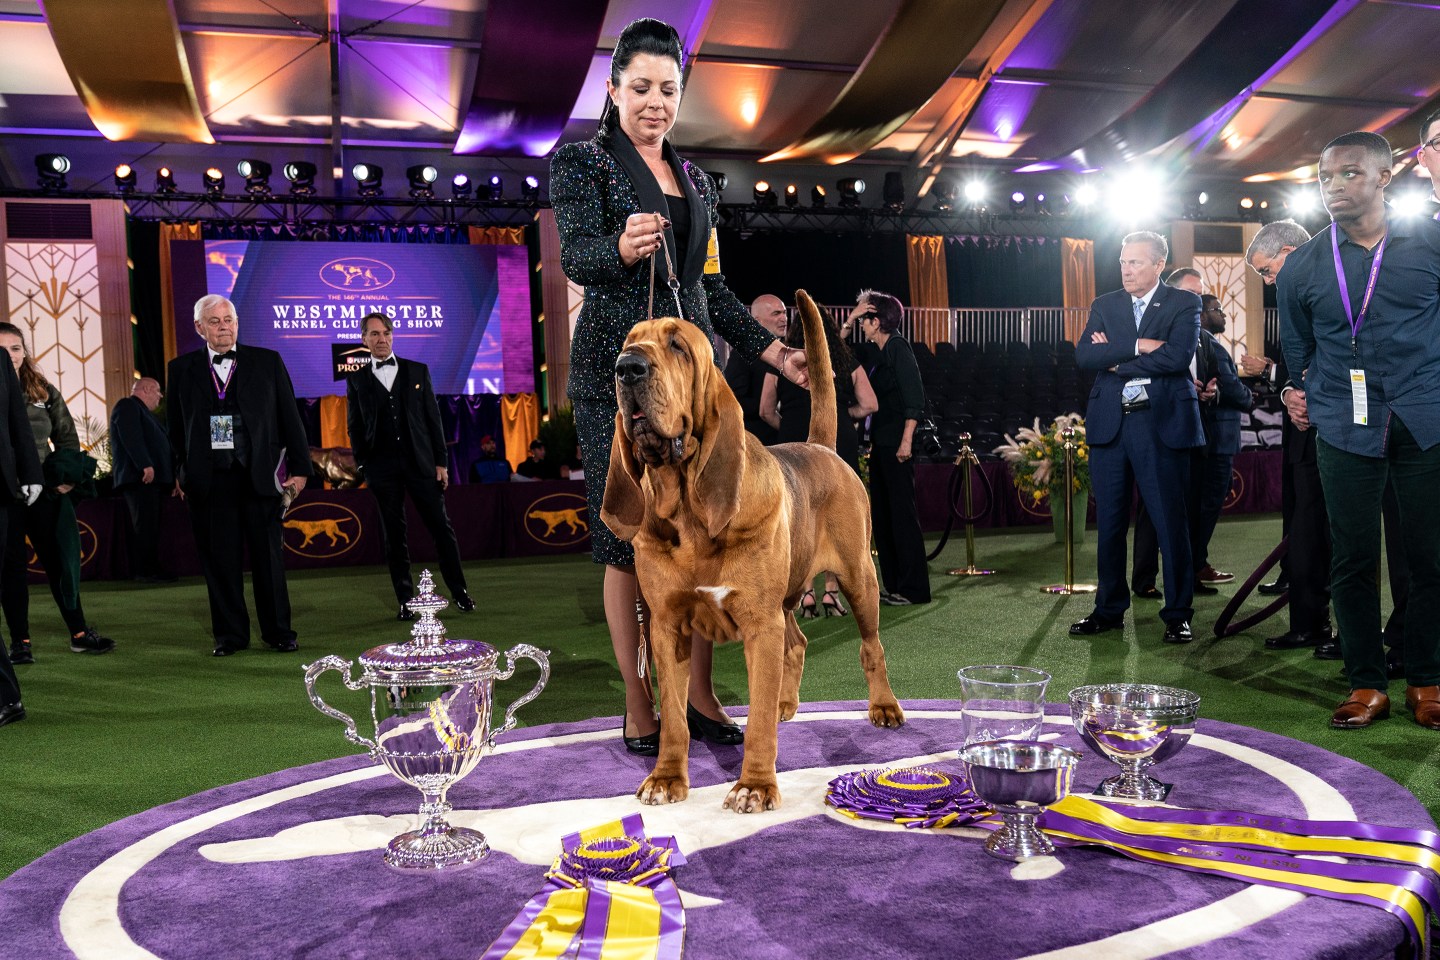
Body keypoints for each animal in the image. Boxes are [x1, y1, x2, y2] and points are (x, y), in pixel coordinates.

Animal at [604, 287, 898, 811]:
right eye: (627, 342)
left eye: (677, 346)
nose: (627, 368)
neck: (689, 511)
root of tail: (821, 447)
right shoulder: (666, 627)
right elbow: (674, 716)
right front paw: (666, 777)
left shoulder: (760, 625)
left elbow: (756, 718)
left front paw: (756, 785)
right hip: (786, 598)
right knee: (797, 643)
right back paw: (786, 702)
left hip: (858, 580)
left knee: (871, 646)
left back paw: (884, 706)